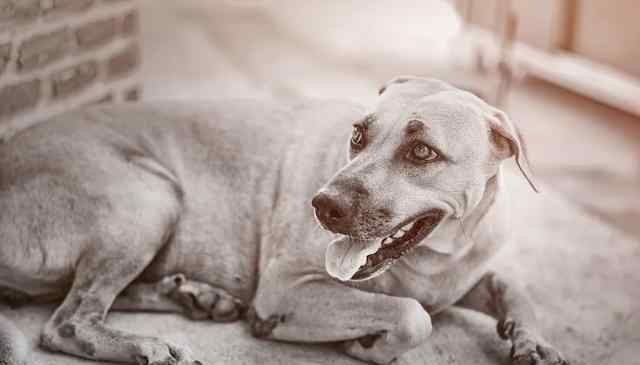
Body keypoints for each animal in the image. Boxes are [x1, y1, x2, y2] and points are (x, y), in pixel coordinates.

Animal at [0, 77, 568, 364]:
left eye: (423, 151)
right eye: (358, 134)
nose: (324, 205)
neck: (434, 257)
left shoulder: (471, 271)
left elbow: (514, 287)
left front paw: (534, 341)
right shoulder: (286, 287)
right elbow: (412, 315)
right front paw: (369, 346)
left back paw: (191, 296)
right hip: (149, 196)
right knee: (69, 320)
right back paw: (147, 346)